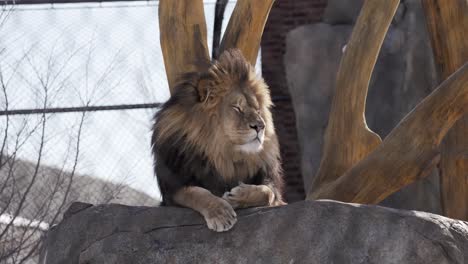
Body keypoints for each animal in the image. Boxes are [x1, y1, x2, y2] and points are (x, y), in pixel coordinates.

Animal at [153, 48, 286, 232]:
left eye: (258, 110)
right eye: (237, 108)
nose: (261, 126)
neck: (222, 153)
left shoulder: (270, 182)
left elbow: (267, 192)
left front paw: (237, 196)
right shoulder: (172, 189)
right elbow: (196, 193)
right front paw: (221, 214)